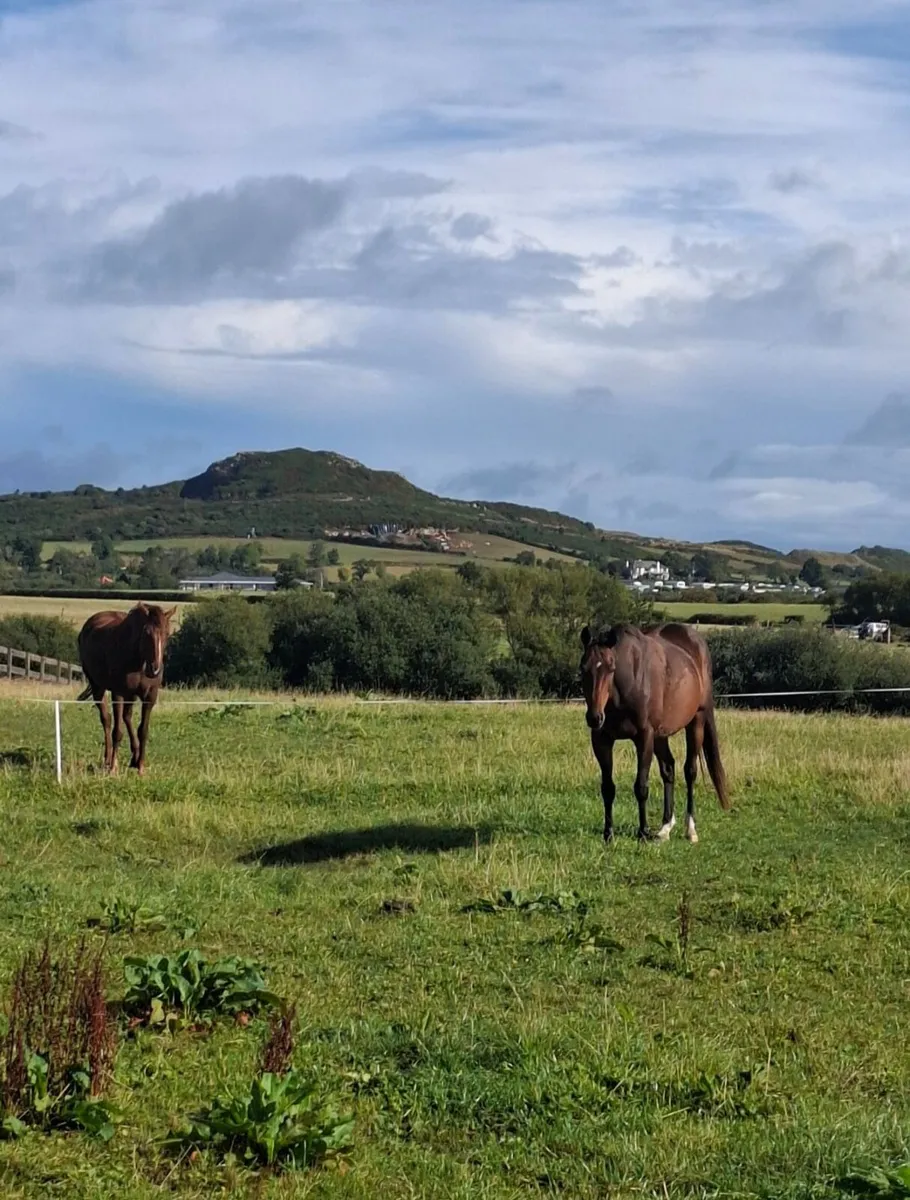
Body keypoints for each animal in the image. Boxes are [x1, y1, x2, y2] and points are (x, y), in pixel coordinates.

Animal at [76, 603, 176, 775]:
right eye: (147, 632)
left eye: (167, 633)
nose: (155, 670)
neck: (138, 661)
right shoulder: (119, 693)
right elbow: (117, 731)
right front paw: (114, 768)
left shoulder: (150, 696)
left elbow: (143, 730)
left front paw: (141, 766)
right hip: (98, 687)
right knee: (107, 719)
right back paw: (108, 760)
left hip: (131, 694)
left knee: (127, 717)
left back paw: (134, 758)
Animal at [579, 622, 730, 844]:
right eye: (583, 669)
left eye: (611, 668)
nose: (594, 717)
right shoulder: (601, 740)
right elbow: (607, 788)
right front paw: (608, 834)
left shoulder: (644, 737)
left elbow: (641, 786)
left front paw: (642, 832)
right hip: (661, 735)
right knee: (669, 768)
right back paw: (665, 827)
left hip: (696, 722)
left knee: (690, 771)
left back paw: (690, 829)